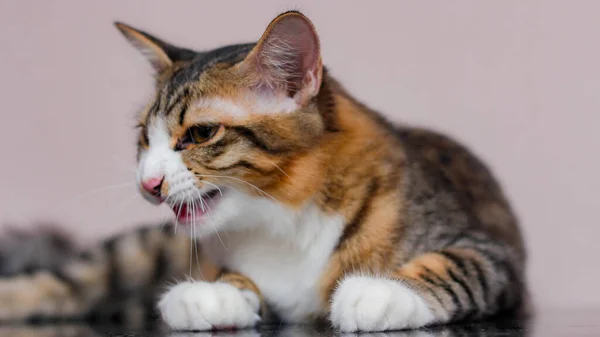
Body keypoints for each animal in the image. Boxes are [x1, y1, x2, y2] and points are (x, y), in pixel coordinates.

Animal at [0, 9, 524, 330]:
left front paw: (379, 294)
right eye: (143, 138)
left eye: (200, 134)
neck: (285, 221)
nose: (148, 183)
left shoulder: (493, 254)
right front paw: (212, 294)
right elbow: (239, 283)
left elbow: (454, 266)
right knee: (57, 284)